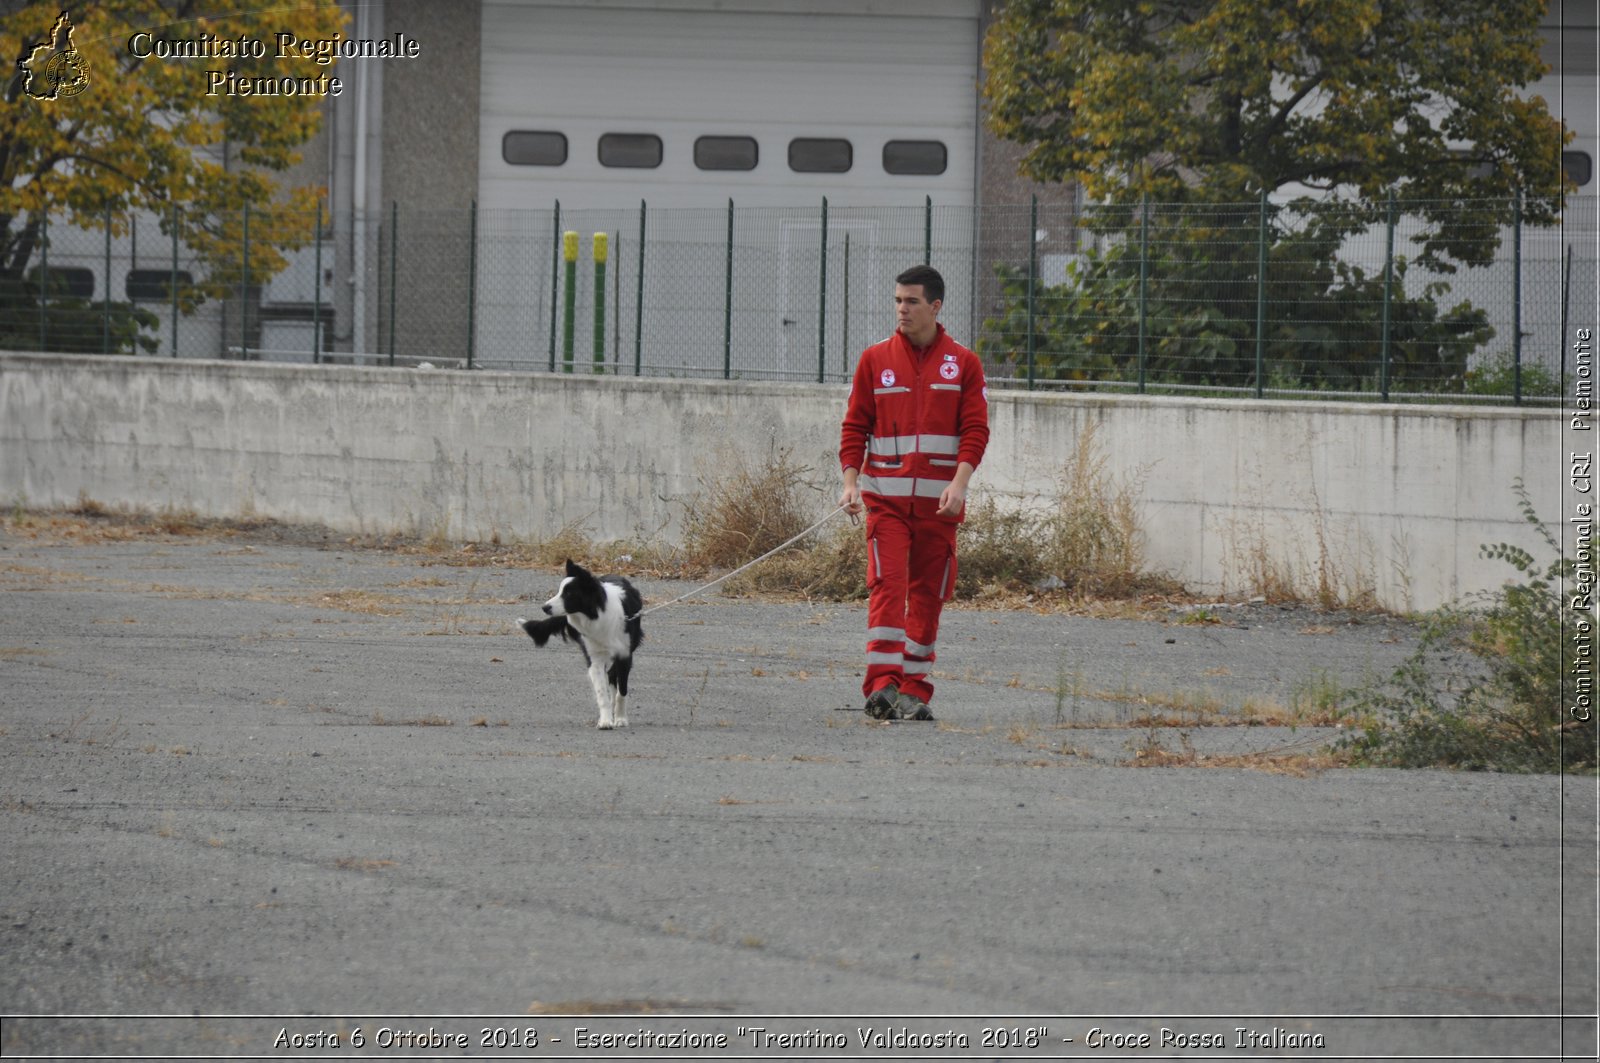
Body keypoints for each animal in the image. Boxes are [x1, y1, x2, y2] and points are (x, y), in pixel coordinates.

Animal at [518, 557, 643, 730]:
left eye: (569, 593)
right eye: (559, 591)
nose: (545, 607)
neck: (597, 614)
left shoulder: (624, 655)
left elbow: (622, 692)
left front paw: (621, 719)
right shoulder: (594, 658)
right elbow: (602, 693)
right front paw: (605, 721)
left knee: (613, 677)